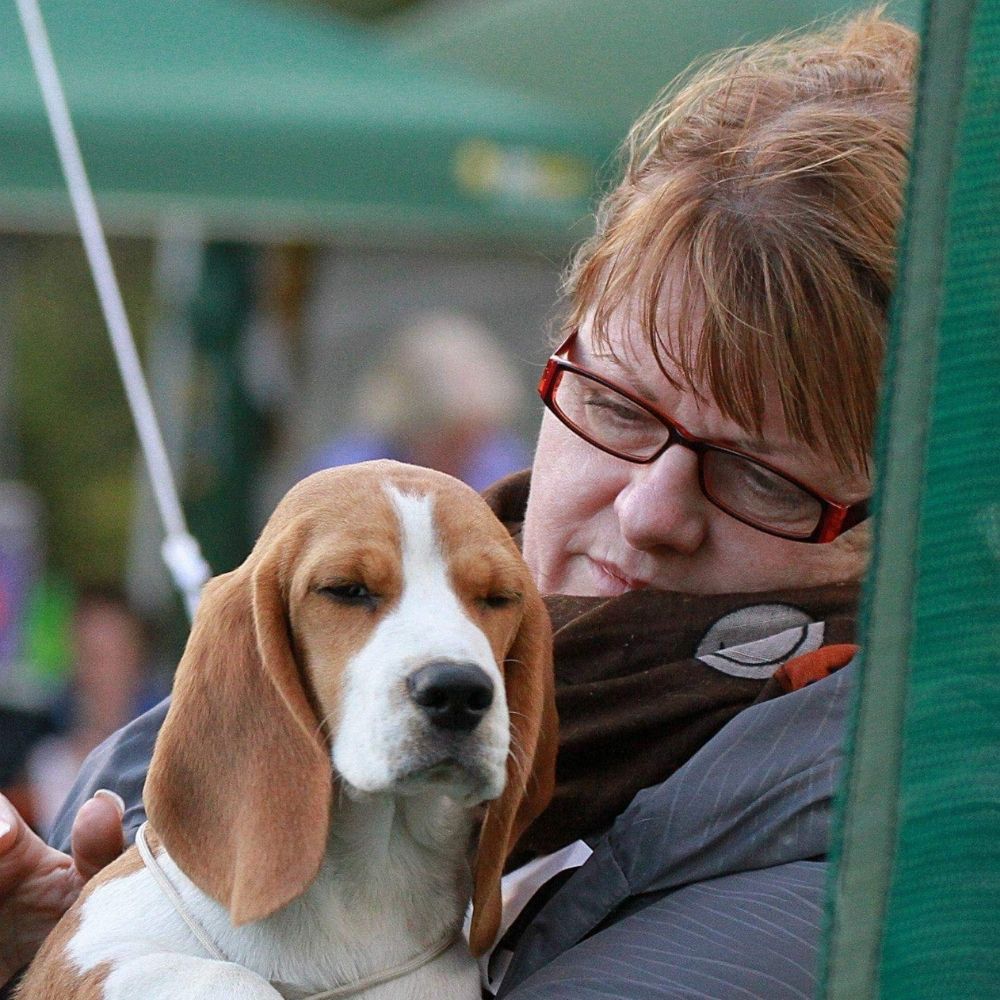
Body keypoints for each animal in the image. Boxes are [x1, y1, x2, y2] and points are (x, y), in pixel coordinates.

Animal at [15, 462, 560, 1000]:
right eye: (346, 589)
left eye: (498, 598)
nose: (458, 691)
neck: (371, 882)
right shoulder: (90, 954)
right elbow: (233, 977)